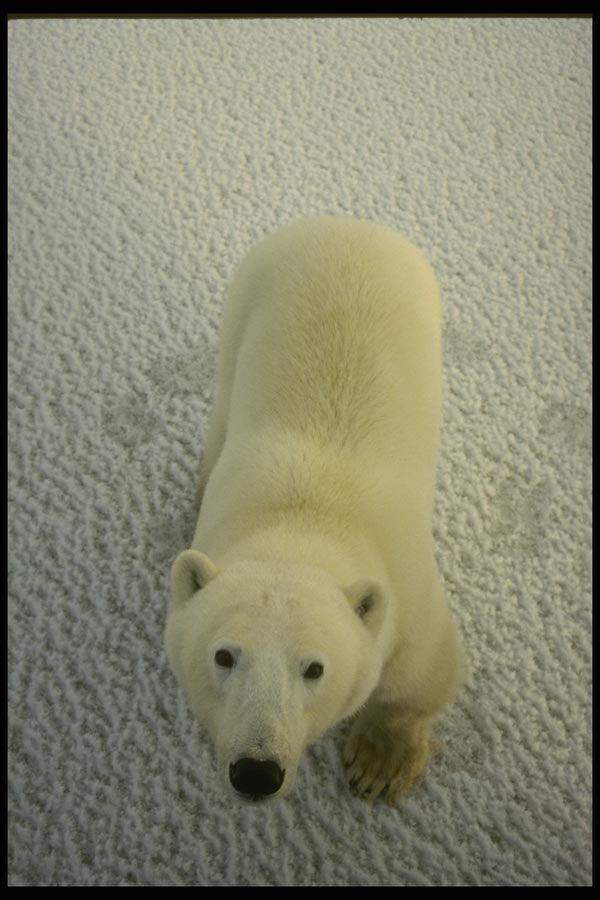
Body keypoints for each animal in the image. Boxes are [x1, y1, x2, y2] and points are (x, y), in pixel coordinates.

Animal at [165, 216, 464, 805]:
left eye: (314, 668)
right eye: (224, 655)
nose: (256, 772)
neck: (302, 520)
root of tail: (344, 224)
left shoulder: (408, 594)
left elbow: (423, 671)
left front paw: (378, 765)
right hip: (246, 298)